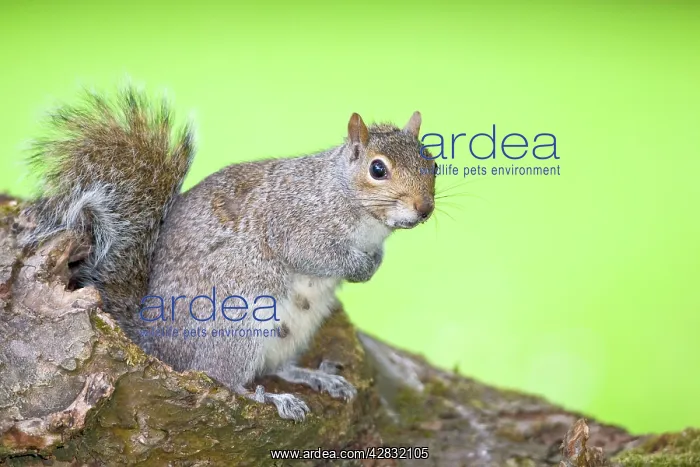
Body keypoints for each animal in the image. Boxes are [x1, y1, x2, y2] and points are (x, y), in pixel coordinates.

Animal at [22, 85, 436, 421]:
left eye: (430, 161)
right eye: (378, 169)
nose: (424, 209)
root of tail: (154, 341)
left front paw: (373, 263)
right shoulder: (294, 222)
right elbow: (312, 254)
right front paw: (359, 267)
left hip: (293, 331)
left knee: (276, 367)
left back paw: (313, 376)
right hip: (238, 322)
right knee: (223, 378)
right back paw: (270, 399)